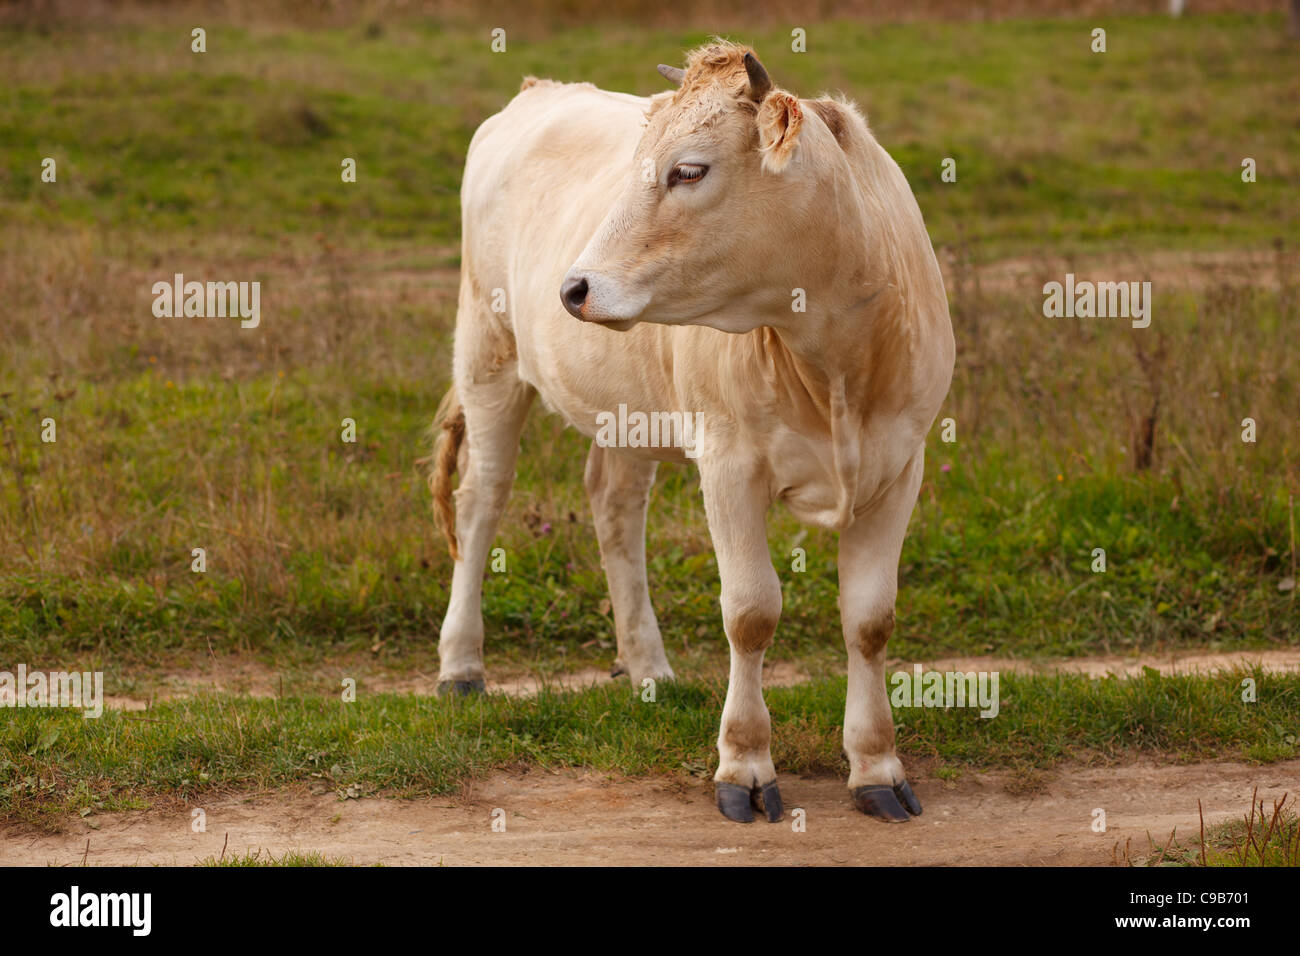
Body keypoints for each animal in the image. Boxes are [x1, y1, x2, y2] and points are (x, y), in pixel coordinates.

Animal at [428, 42, 956, 822]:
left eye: (688, 170)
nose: (574, 289)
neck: (832, 360)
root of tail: (539, 90)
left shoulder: (899, 467)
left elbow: (870, 618)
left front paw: (877, 767)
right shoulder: (729, 462)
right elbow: (751, 611)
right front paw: (744, 765)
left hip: (624, 405)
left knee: (614, 506)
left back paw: (648, 666)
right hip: (486, 353)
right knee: (481, 501)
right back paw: (461, 665)